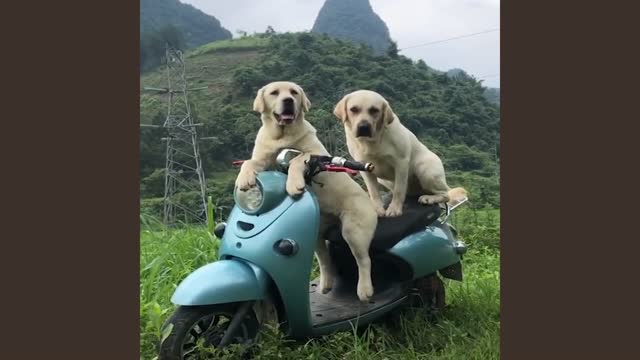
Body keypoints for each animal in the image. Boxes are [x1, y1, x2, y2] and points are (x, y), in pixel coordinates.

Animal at [235, 81, 378, 300]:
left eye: (294, 93)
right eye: (274, 93)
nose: (288, 101)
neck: (282, 135)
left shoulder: (314, 155)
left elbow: (297, 158)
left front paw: (293, 183)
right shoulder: (263, 158)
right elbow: (249, 163)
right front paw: (243, 179)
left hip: (353, 231)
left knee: (363, 260)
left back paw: (364, 290)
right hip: (319, 234)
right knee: (326, 260)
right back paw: (325, 285)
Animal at [336, 90, 464, 217]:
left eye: (374, 110)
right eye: (354, 109)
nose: (363, 127)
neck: (372, 141)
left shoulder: (401, 163)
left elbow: (399, 190)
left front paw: (394, 209)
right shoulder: (365, 167)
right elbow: (373, 191)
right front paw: (377, 209)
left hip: (425, 170)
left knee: (445, 195)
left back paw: (429, 198)